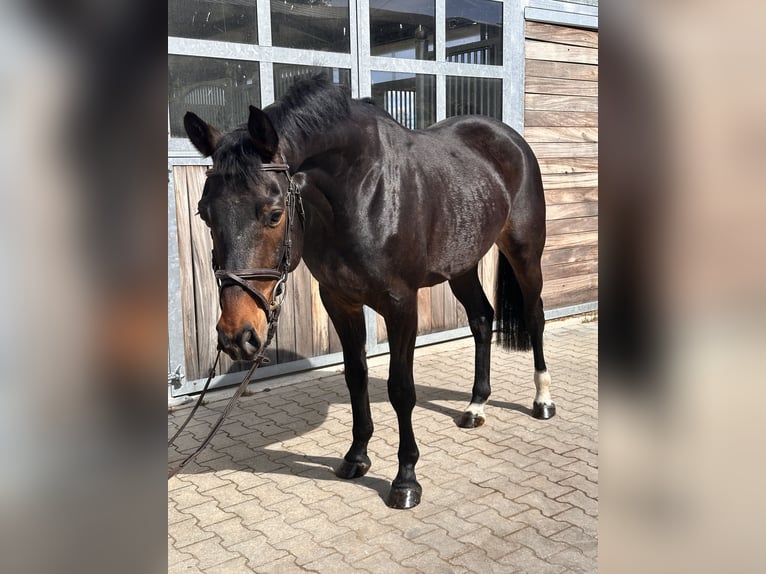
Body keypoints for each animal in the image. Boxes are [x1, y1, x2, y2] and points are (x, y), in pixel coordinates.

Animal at [183, 75, 555, 509]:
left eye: (274, 214)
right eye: (204, 213)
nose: (237, 336)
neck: (362, 192)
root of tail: (509, 138)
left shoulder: (400, 304)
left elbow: (401, 389)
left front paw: (406, 479)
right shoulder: (339, 301)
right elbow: (355, 375)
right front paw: (356, 457)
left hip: (525, 253)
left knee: (534, 316)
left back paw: (543, 401)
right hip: (461, 264)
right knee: (482, 319)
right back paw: (475, 406)